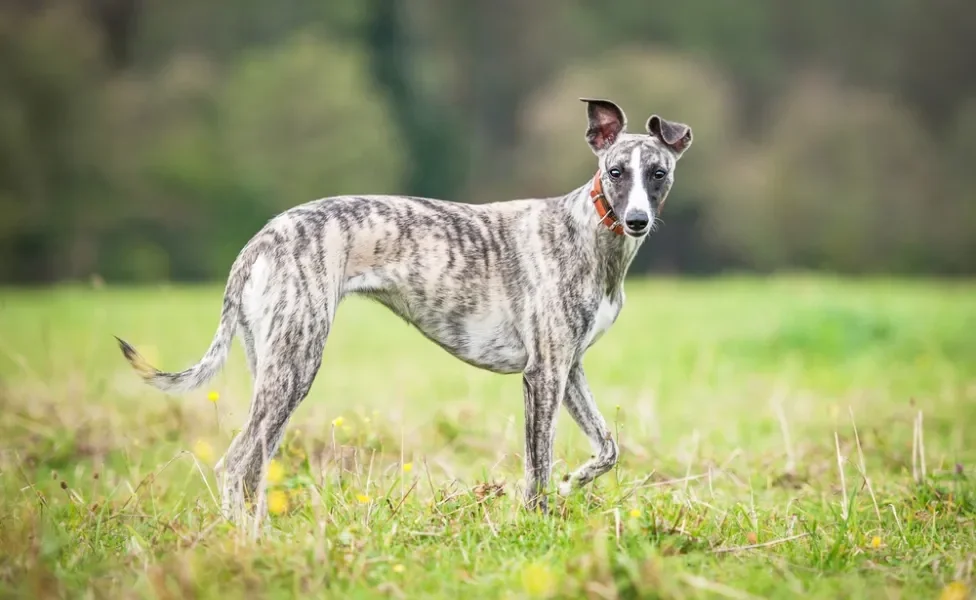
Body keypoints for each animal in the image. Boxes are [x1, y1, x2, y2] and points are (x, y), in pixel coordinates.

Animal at [116, 99, 692, 520]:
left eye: (658, 173)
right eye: (615, 172)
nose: (638, 221)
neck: (589, 232)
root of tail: (259, 241)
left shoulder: (569, 368)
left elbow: (608, 447)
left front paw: (575, 482)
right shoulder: (543, 373)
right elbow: (537, 467)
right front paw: (537, 523)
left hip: (273, 367)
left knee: (254, 465)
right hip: (296, 364)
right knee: (236, 465)